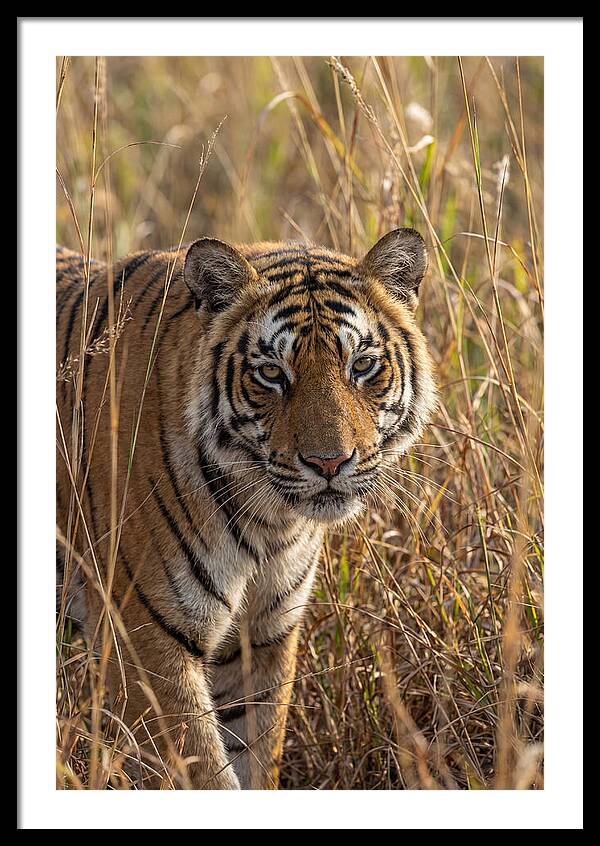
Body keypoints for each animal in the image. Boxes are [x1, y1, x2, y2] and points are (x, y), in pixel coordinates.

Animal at [56, 228, 437, 790]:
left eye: (363, 366)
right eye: (272, 373)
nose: (329, 461)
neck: (269, 523)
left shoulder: (262, 635)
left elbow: (256, 754)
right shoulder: (145, 640)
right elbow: (203, 773)